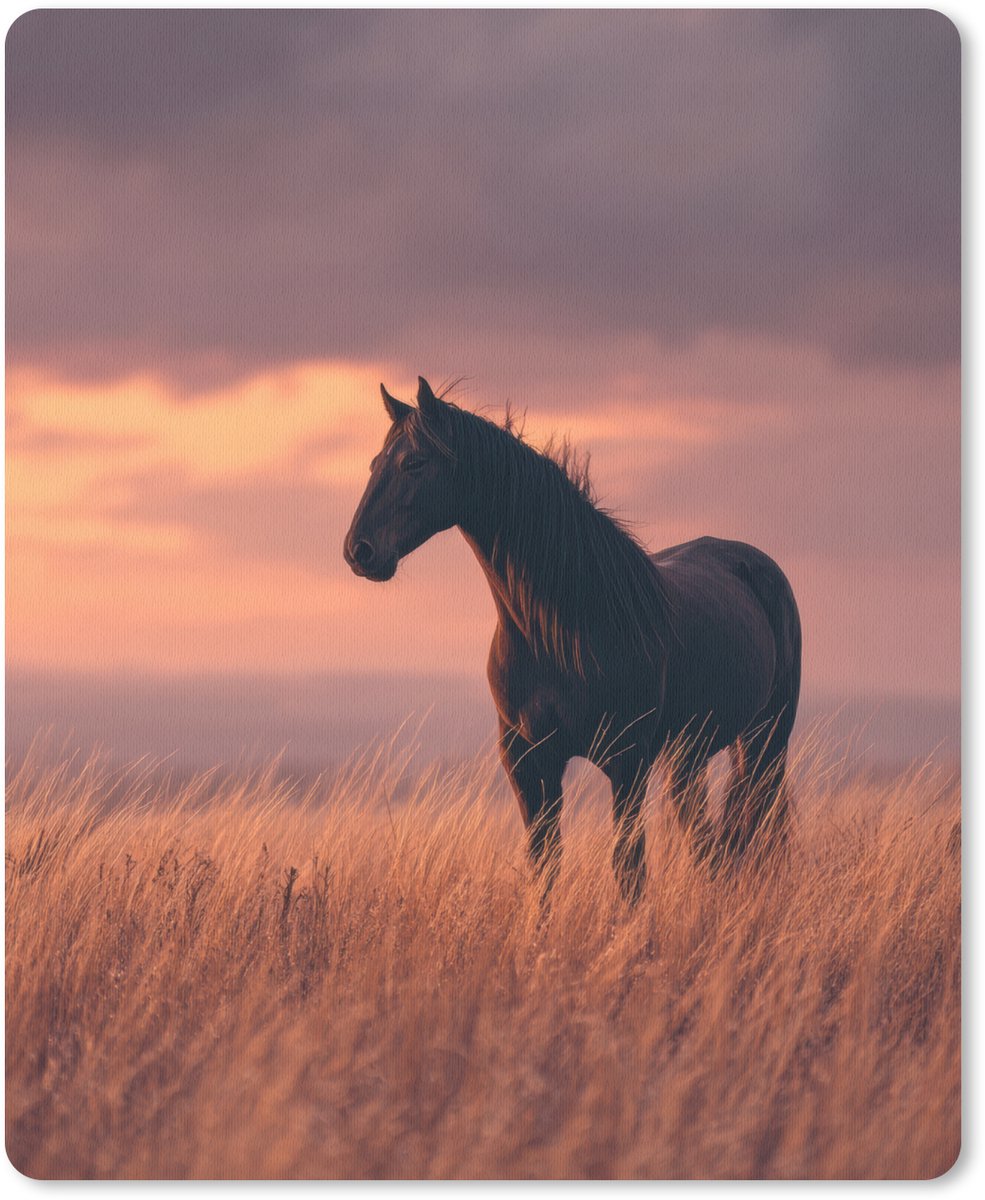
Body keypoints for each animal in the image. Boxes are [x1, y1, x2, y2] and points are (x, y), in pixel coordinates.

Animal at [344, 377, 802, 901]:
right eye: (375, 463)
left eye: (414, 462)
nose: (359, 551)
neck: (566, 628)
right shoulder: (528, 762)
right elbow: (545, 866)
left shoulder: (627, 761)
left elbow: (629, 868)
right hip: (689, 754)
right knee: (708, 842)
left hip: (766, 739)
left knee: (748, 827)